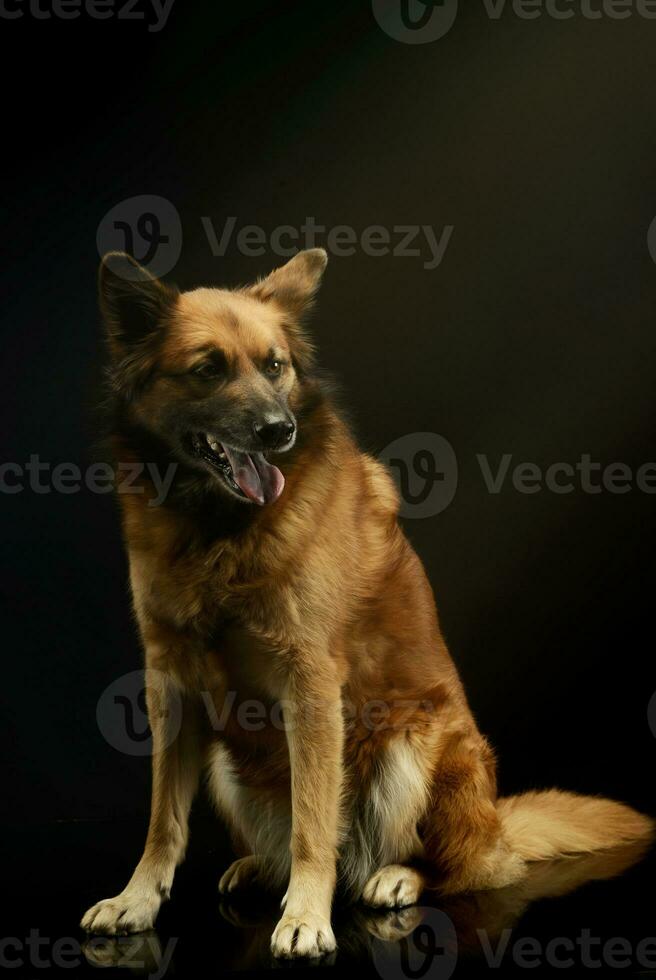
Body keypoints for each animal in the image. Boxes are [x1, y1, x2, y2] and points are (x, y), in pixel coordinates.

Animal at [83, 251, 656, 956]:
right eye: (207, 369)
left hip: (412, 746)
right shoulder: (169, 683)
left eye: (275, 365)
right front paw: (136, 900)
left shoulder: (309, 681)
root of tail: (497, 825)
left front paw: (306, 915)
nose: (278, 431)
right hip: (227, 762)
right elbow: (163, 821)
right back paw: (259, 867)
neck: (218, 530)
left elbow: (312, 820)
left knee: (451, 867)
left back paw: (395, 877)